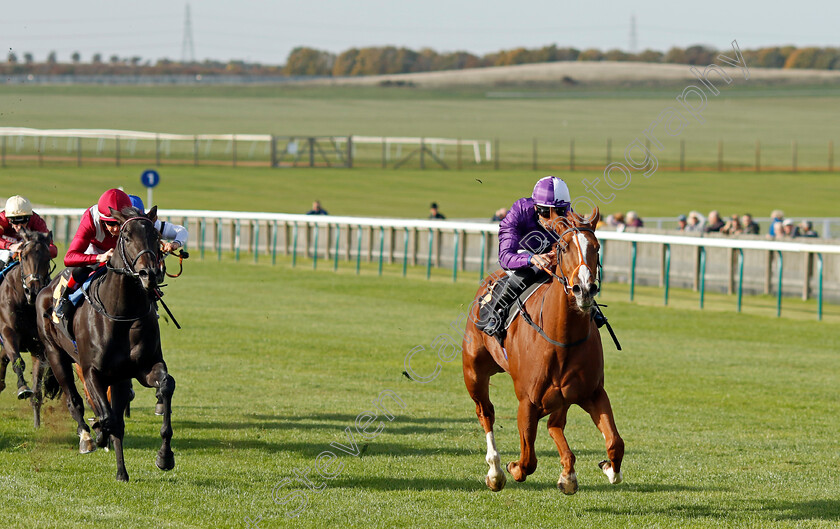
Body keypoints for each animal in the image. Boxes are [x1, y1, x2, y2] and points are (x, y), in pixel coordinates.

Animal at [36, 207, 176, 482]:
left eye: (155, 235)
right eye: (127, 237)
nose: (149, 274)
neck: (122, 312)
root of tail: (46, 288)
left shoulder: (144, 367)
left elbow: (166, 385)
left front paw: (165, 456)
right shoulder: (92, 371)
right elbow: (107, 417)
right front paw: (99, 431)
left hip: (119, 377)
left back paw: (122, 471)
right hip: (56, 355)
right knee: (74, 400)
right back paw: (87, 437)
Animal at [460, 205, 624, 490]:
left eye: (596, 247)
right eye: (563, 247)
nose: (584, 289)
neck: (563, 338)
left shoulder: (592, 392)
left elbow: (615, 442)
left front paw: (607, 468)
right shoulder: (527, 401)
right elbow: (527, 460)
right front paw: (512, 467)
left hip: (562, 395)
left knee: (555, 425)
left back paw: (568, 472)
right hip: (474, 372)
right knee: (486, 413)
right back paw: (495, 471)